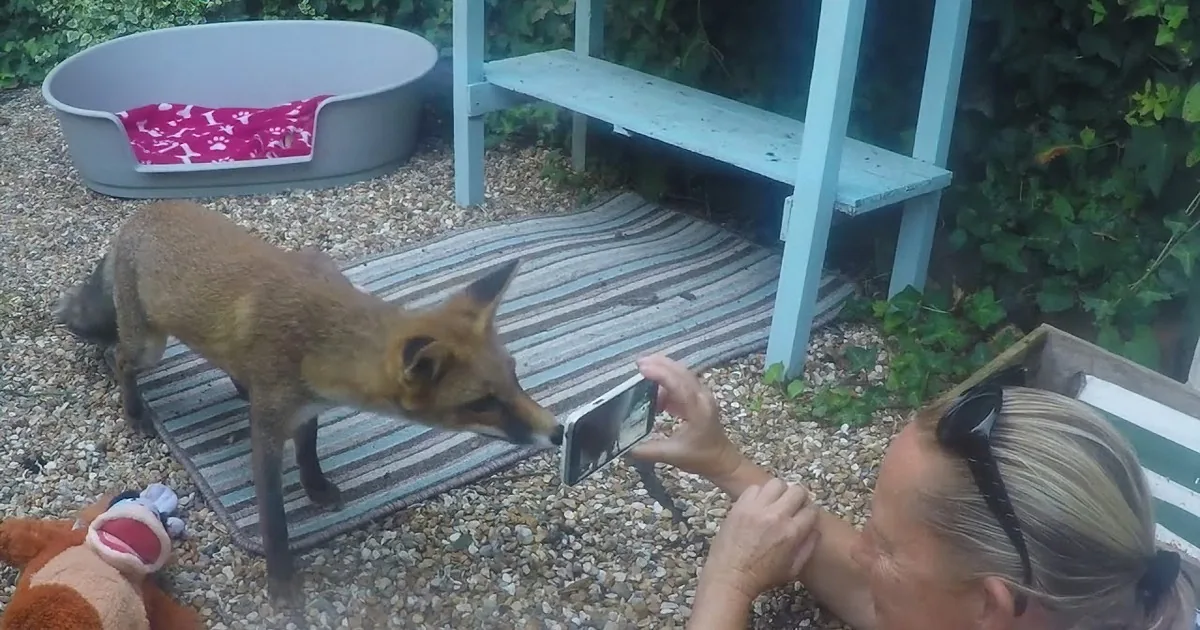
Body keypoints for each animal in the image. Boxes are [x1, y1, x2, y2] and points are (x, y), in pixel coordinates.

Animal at [52, 200, 564, 605]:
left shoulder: (306, 408)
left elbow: (309, 451)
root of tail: (142, 213)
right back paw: (135, 411)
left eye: (515, 376)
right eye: (483, 402)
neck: (318, 339)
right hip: (149, 347)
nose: (558, 431)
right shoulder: (266, 432)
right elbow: (274, 521)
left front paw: (316, 487)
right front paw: (282, 584)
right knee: (120, 359)